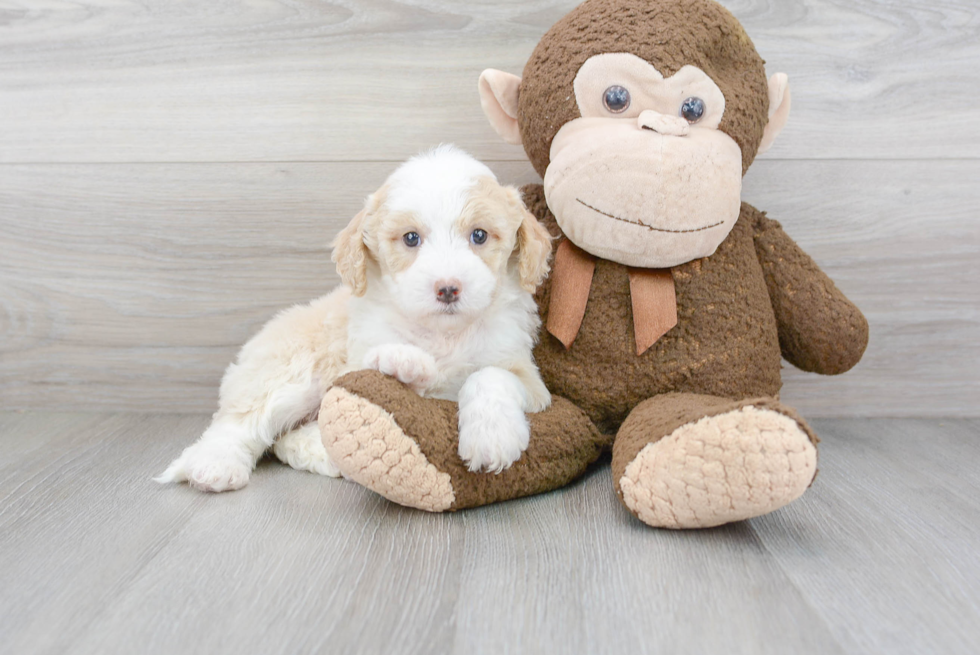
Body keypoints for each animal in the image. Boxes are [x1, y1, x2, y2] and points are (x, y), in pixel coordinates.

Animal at [153, 145, 552, 492]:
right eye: (411, 239)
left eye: (479, 235)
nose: (448, 288)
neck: (444, 334)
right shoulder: (357, 363)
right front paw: (402, 363)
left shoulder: (528, 378)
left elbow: (491, 375)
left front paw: (492, 436)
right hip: (290, 371)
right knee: (241, 422)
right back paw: (215, 464)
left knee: (289, 437)